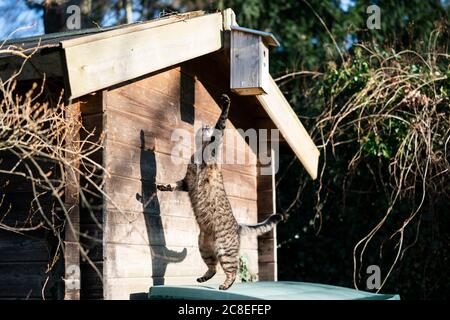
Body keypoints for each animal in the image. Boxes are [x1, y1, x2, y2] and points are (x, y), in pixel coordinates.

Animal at [158, 93, 284, 290]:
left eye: (209, 127)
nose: (205, 126)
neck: (200, 151)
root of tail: (237, 226)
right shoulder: (187, 182)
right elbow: (174, 184)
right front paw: (164, 186)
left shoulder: (215, 144)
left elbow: (222, 122)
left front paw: (226, 102)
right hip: (204, 247)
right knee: (214, 267)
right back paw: (203, 278)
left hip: (225, 250)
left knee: (233, 270)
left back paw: (224, 285)